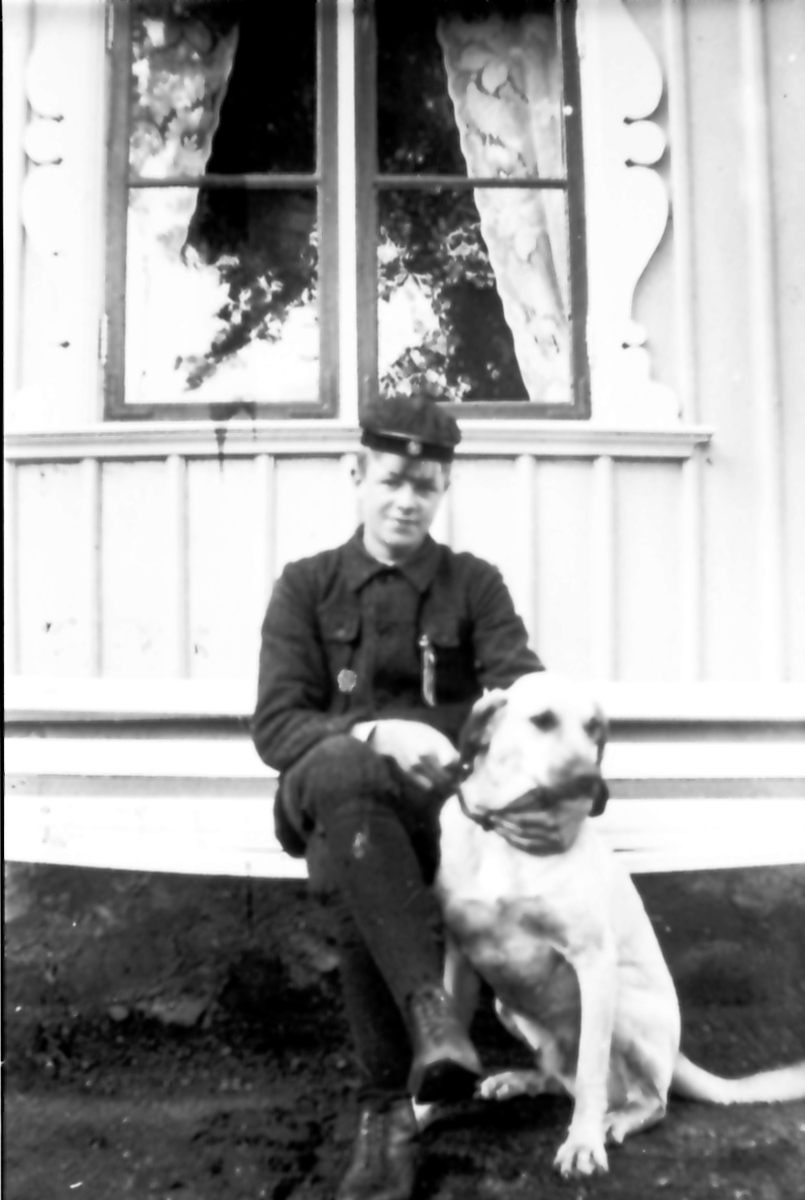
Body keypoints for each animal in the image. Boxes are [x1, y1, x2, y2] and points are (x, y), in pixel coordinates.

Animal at [434, 672, 805, 1177]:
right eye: (542, 720)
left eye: (594, 728)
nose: (593, 784)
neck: (507, 836)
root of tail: (677, 1055)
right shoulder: (459, 958)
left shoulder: (593, 963)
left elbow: (591, 1070)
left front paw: (583, 1144)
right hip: (507, 1007)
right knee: (558, 1077)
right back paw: (522, 1080)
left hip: (624, 1006)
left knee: (648, 1099)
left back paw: (617, 1119)